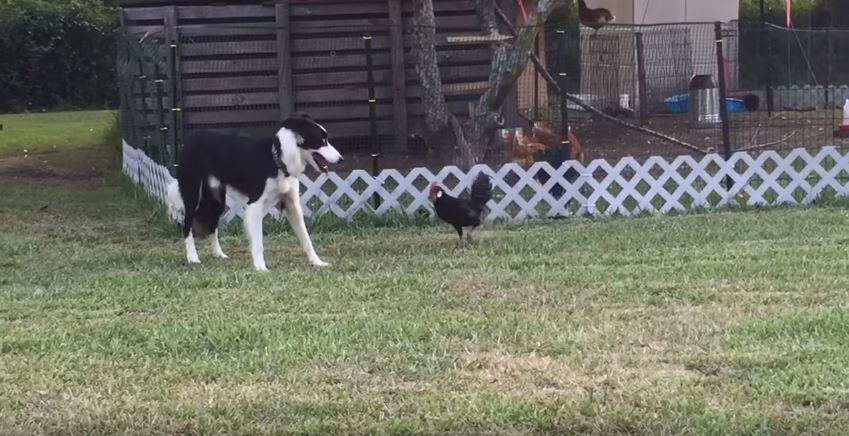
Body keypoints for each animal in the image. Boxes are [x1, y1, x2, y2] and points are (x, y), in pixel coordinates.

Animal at [167, 114, 342, 270]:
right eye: (322, 141)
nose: (341, 159)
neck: (277, 160)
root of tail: (189, 139)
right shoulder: (255, 205)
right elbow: (258, 242)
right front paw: (260, 268)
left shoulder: (292, 205)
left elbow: (306, 238)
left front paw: (317, 262)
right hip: (192, 195)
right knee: (187, 226)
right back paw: (193, 258)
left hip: (217, 200)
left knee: (212, 226)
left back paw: (219, 254)